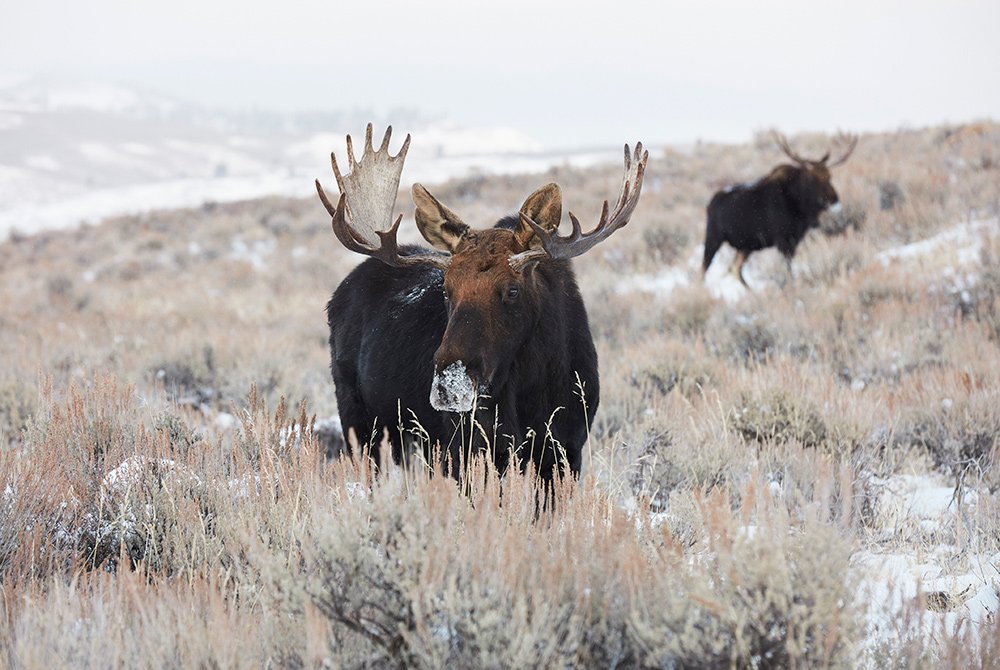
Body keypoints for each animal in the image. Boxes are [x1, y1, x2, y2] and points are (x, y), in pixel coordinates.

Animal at [704, 133, 860, 288]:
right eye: (812, 178)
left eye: (829, 176)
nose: (834, 199)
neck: (801, 208)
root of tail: (709, 205)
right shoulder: (782, 239)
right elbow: (788, 268)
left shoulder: (795, 239)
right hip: (713, 237)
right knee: (704, 268)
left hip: (746, 246)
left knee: (735, 268)